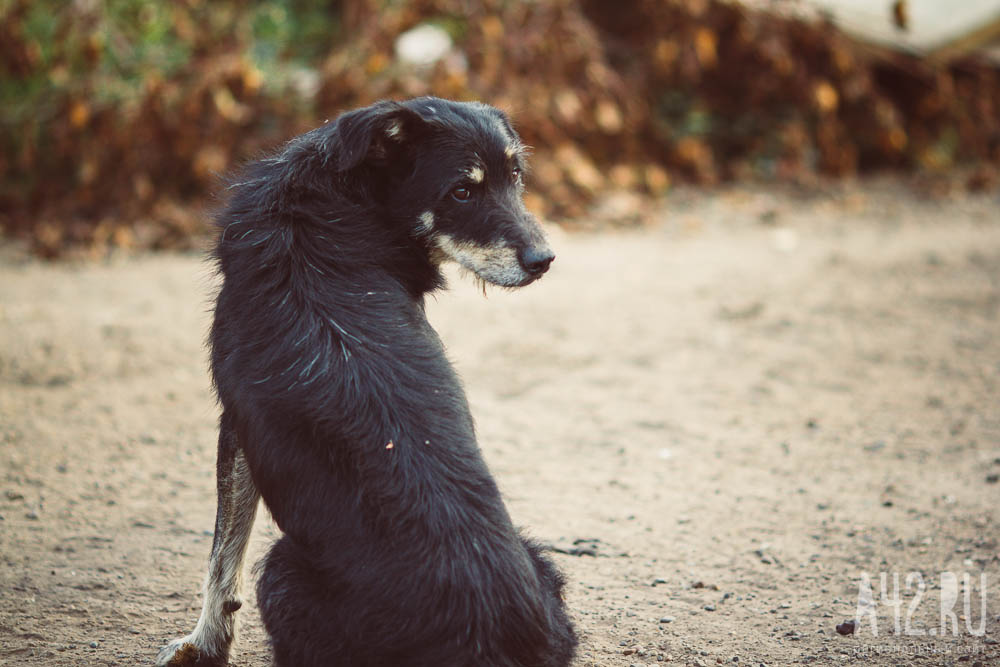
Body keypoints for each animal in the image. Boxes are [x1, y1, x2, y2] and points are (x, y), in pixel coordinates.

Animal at [156, 99, 580, 667]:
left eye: (515, 176)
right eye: (461, 191)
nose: (544, 261)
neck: (329, 209)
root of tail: (482, 639)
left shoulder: (236, 425)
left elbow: (222, 560)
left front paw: (202, 645)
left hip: (282, 570)